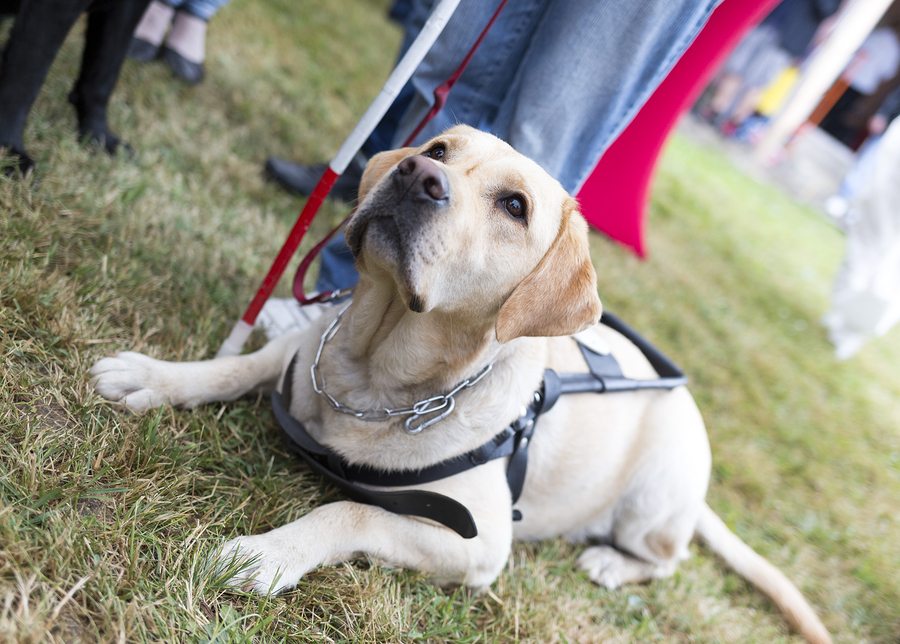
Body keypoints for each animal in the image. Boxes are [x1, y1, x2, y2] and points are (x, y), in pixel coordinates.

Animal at [89, 123, 828, 640]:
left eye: (514, 206)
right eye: (439, 147)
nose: (417, 172)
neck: (377, 376)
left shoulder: (478, 545)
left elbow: (348, 510)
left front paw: (266, 555)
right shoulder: (307, 347)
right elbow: (235, 365)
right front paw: (151, 376)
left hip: (655, 500)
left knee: (666, 557)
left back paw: (612, 563)